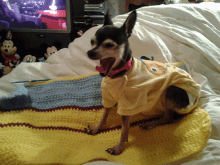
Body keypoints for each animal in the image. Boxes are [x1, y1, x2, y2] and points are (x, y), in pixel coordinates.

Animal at [85, 10, 200, 155]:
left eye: (109, 45)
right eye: (92, 42)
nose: (89, 53)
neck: (119, 74)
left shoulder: (128, 104)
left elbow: (124, 130)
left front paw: (118, 147)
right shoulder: (108, 97)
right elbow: (103, 116)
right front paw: (96, 128)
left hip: (171, 90)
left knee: (169, 117)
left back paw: (150, 123)